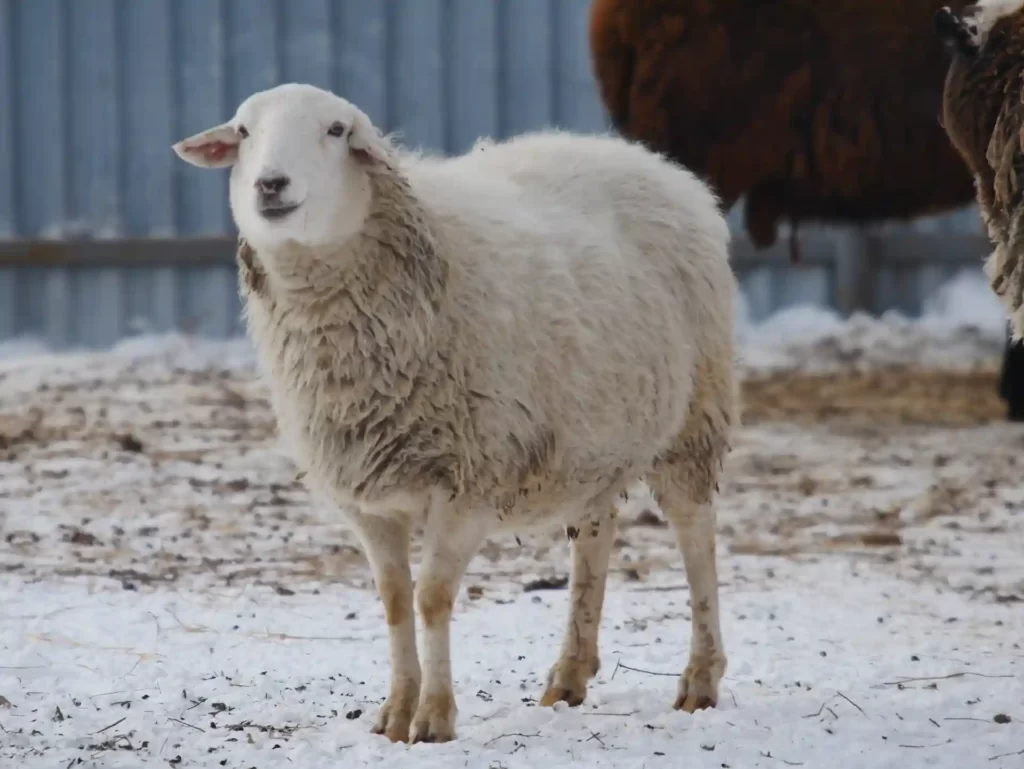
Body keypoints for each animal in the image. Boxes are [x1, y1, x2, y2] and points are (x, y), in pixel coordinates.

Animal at [172, 83, 738, 744]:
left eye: (336, 130)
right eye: (243, 131)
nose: (270, 184)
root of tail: (657, 164)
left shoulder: (470, 481)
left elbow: (433, 598)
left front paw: (435, 717)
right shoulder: (366, 499)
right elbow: (394, 600)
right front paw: (396, 712)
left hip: (693, 417)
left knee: (696, 536)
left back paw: (700, 678)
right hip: (592, 434)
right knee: (595, 533)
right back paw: (569, 675)